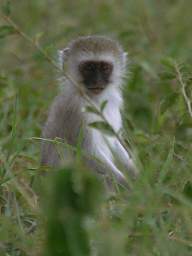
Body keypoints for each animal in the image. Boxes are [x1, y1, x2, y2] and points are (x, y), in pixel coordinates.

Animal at [41, 35, 136, 188]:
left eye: (105, 67)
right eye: (88, 68)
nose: (97, 81)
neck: (94, 100)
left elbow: (114, 142)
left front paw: (138, 175)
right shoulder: (76, 111)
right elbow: (88, 153)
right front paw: (131, 185)